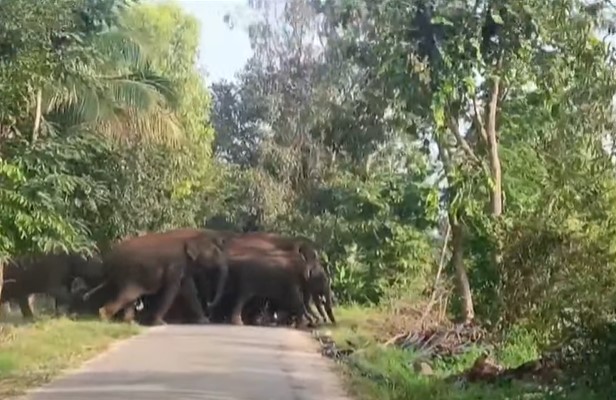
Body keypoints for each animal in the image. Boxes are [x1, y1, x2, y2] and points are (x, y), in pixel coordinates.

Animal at [88, 228, 230, 324]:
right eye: (215, 253)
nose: (209, 304)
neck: (190, 238)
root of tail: (106, 262)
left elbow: (189, 291)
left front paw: (204, 321)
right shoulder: (174, 266)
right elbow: (171, 291)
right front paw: (159, 323)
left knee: (129, 298)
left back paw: (129, 323)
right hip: (129, 275)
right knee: (129, 296)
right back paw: (104, 317)